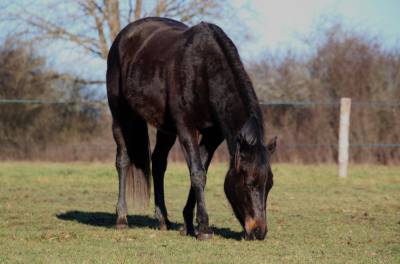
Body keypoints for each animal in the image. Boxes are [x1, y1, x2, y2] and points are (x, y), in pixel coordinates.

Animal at [104, 16, 276, 239]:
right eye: (250, 183)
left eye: (269, 185)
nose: (258, 232)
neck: (204, 70)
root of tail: (124, 35)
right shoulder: (186, 127)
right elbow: (197, 173)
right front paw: (204, 228)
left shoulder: (213, 136)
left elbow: (201, 170)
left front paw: (188, 223)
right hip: (121, 116)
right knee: (123, 160)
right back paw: (122, 218)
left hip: (165, 128)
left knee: (158, 163)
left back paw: (163, 219)